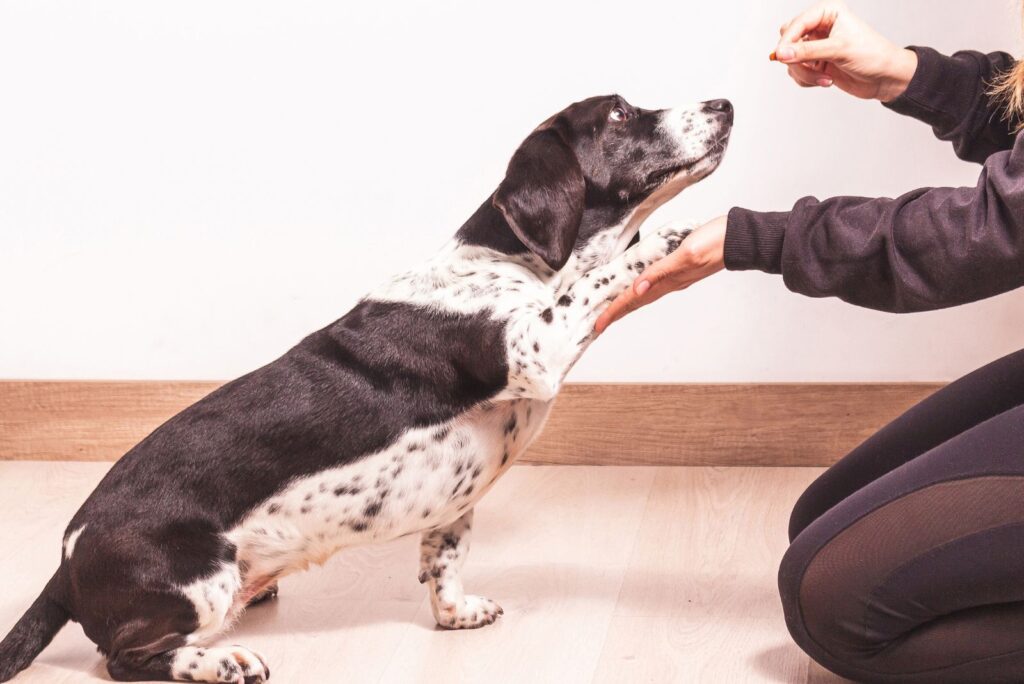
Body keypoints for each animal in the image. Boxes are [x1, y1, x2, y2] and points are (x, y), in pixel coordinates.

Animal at [4, 93, 733, 679]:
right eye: (620, 113)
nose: (724, 103)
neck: (512, 263)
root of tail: (66, 564)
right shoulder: (536, 347)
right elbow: (600, 279)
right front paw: (664, 239)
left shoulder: (456, 503)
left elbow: (445, 559)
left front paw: (457, 613)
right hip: (201, 579)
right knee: (125, 658)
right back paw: (221, 663)